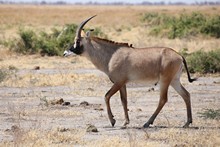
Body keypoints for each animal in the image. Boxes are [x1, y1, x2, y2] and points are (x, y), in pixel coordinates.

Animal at [63, 15, 196, 127]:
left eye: (77, 41)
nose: (65, 53)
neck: (111, 55)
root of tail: (179, 55)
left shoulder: (118, 82)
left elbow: (106, 96)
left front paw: (113, 121)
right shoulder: (122, 84)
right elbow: (124, 101)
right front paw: (126, 122)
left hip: (165, 81)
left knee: (163, 99)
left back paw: (148, 122)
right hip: (174, 81)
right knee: (186, 94)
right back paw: (187, 122)